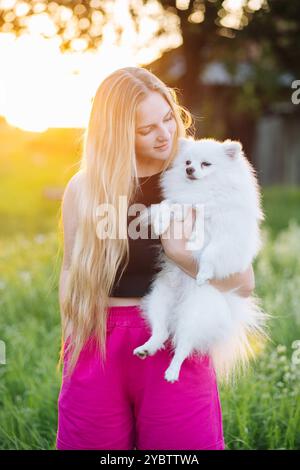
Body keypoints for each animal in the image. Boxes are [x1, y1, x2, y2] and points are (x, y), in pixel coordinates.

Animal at [134, 136, 272, 386]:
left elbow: (210, 252)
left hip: (195, 315)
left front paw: (204, 273)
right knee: (161, 331)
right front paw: (160, 222)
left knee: (183, 345)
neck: (201, 194)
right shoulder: (180, 203)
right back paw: (146, 348)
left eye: (205, 164)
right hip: (159, 298)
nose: (189, 169)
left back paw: (172, 371)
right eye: (188, 162)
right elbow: (167, 205)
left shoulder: (227, 237)